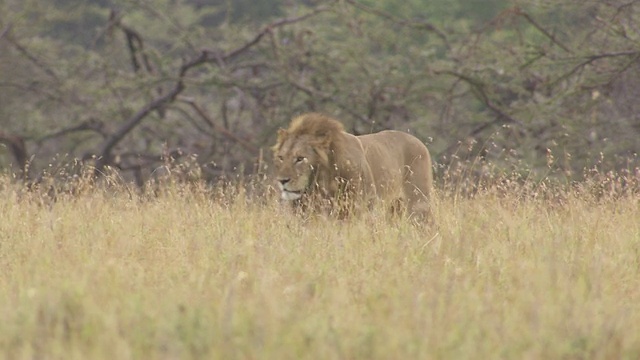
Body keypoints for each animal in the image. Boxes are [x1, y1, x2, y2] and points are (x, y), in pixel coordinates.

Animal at [272, 113, 436, 222]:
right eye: (281, 157)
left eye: (300, 158)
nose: (281, 181)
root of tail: (419, 141)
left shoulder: (362, 208)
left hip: (419, 203)